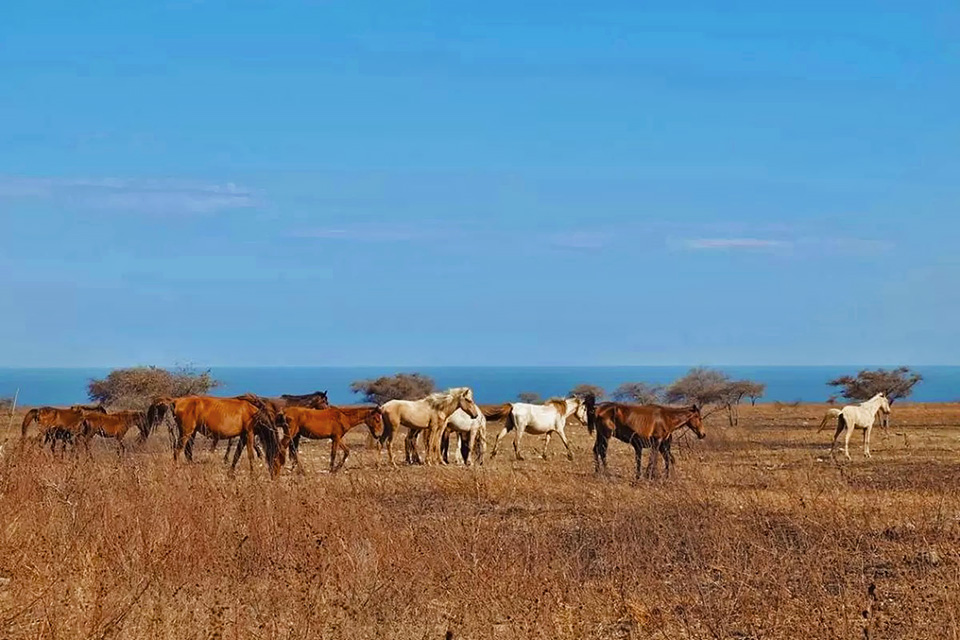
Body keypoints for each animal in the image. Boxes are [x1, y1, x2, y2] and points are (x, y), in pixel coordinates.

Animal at [147, 395, 285, 477]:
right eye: (278, 460)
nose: (275, 477)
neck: (255, 411)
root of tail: (178, 400)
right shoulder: (249, 433)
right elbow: (250, 455)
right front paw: (252, 473)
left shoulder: (243, 436)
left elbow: (236, 454)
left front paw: (231, 472)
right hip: (186, 432)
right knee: (178, 451)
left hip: (192, 432)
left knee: (187, 452)